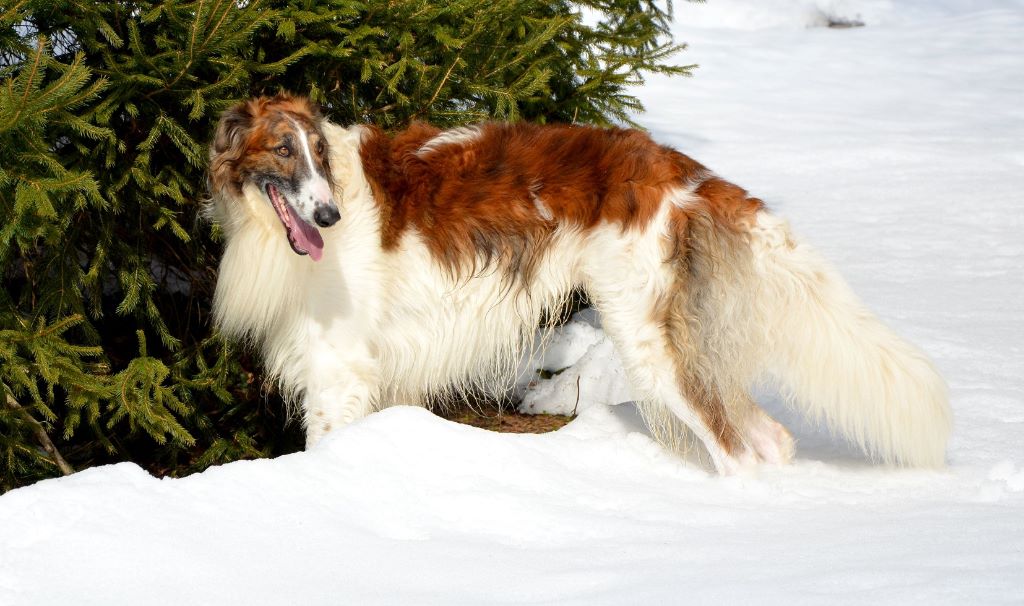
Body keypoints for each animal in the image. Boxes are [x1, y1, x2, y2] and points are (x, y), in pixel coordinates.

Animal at [205, 94, 950, 472]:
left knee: (739, 449)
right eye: (282, 151)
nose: (328, 217)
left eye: (318, 154)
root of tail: (680, 169)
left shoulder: (340, 375)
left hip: (649, 341)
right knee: (770, 440)